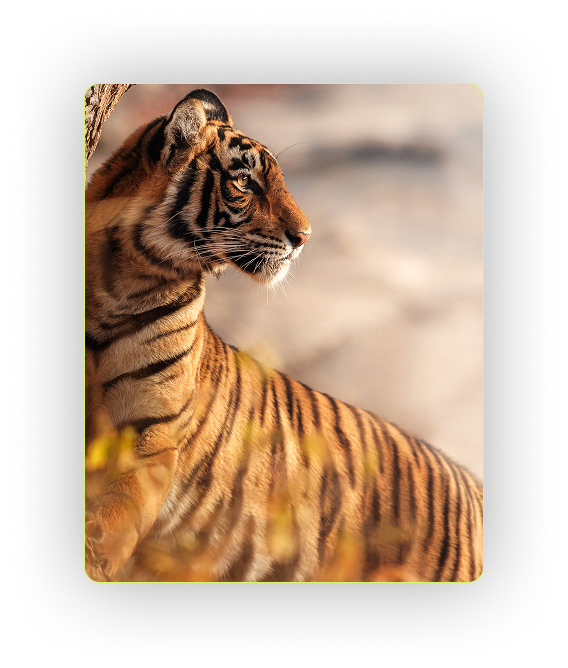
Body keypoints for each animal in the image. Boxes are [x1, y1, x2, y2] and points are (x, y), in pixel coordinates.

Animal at [85, 88, 483, 583]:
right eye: (245, 183)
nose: (305, 237)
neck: (120, 282)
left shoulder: (152, 437)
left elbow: (113, 521)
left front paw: (95, 556)